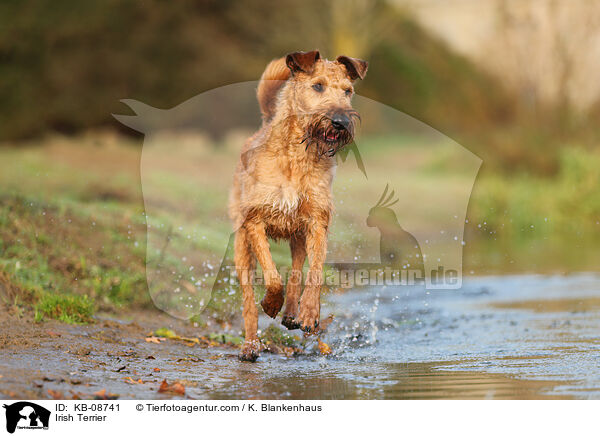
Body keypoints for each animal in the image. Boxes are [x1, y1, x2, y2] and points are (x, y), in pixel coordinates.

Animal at [230, 50, 368, 362]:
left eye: (348, 91)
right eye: (317, 86)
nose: (340, 121)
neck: (297, 156)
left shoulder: (317, 221)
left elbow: (313, 273)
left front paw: (308, 313)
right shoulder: (255, 221)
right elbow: (272, 277)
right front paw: (271, 303)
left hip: (298, 235)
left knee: (295, 271)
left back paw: (292, 312)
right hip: (241, 243)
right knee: (248, 299)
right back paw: (250, 345)